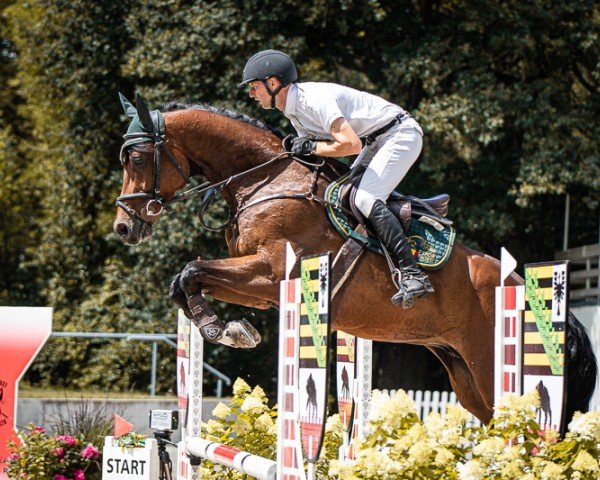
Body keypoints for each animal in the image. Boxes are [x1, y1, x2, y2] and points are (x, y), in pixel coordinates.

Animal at [112, 93, 596, 424]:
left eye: (135, 156)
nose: (123, 228)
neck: (265, 179)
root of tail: (527, 288)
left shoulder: (270, 273)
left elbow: (191, 270)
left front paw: (224, 329)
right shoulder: (261, 289)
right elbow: (184, 280)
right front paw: (227, 328)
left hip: (492, 368)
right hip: (463, 371)